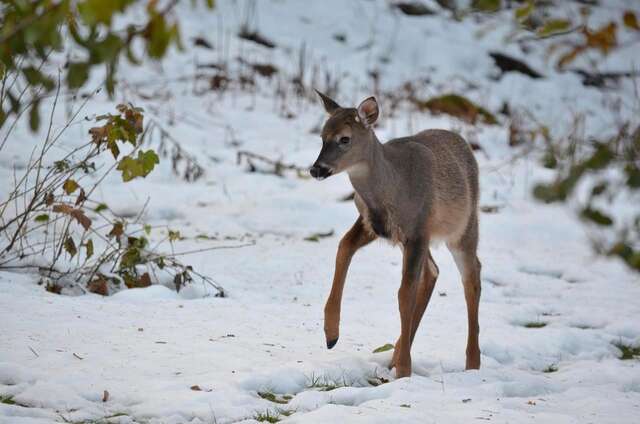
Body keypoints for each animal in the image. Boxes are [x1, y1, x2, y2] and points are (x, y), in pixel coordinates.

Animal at [308, 90, 480, 378]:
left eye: (345, 138)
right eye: (322, 136)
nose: (316, 169)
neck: (391, 188)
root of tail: (463, 143)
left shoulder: (418, 230)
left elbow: (404, 293)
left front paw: (405, 371)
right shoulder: (374, 224)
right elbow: (343, 246)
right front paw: (331, 334)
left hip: (464, 227)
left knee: (472, 277)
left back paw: (472, 363)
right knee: (433, 271)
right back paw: (396, 352)